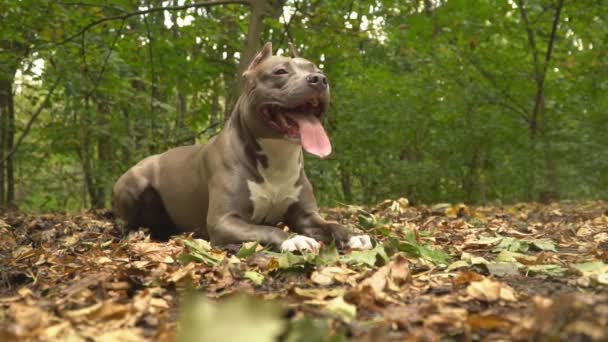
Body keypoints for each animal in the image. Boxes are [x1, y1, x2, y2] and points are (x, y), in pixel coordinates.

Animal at [111, 42, 372, 252]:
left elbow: (331, 224)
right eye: (280, 71)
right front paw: (293, 239)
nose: (319, 79)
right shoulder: (224, 220)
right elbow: (267, 229)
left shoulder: (306, 216)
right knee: (130, 222)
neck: (278, 157)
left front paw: (353, 235)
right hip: (134, 183)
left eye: (317, 70)